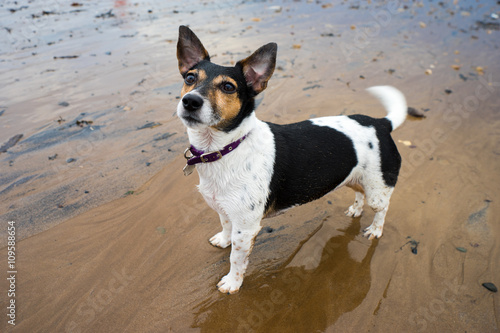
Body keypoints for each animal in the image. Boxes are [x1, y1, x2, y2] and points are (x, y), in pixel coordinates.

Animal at [176, 25, 406, 294]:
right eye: (190, 78)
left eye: (228, 87)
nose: (190, 101)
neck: (228, 147)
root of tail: (381, 123)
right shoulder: (226, 210)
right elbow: (225, 225)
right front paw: (223, 240)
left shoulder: (246, 227)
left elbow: (236, 258)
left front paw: (232, 283)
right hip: (354, 176)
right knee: (359, 191)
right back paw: (356, 210)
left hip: (378, 188)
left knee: (382, 208)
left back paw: (375, 230)